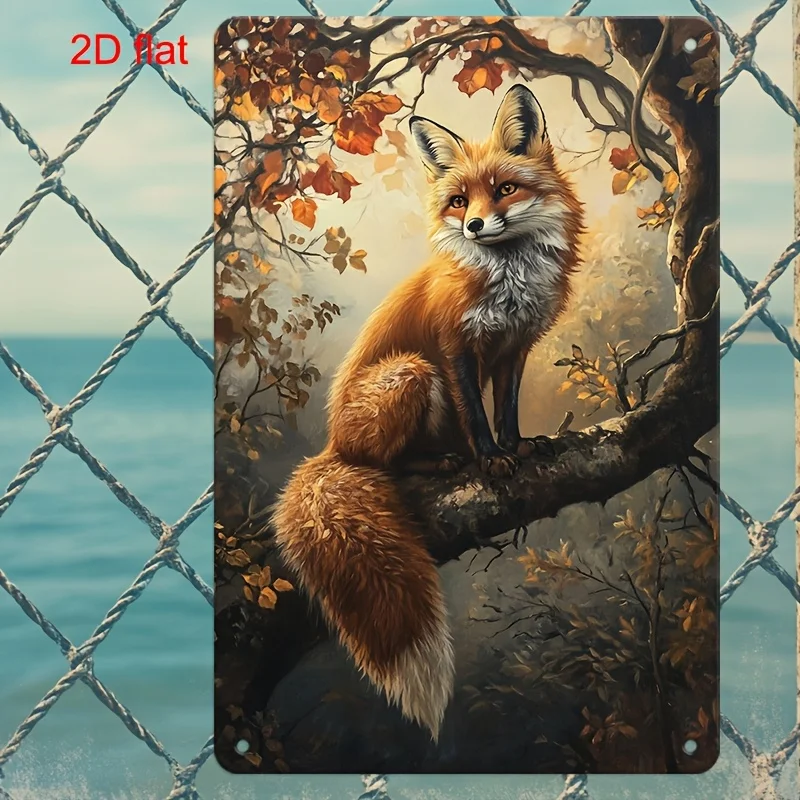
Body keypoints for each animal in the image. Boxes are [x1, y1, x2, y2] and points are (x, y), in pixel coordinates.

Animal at [272, 84, 584, 742]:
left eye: (505, 189)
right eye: (460, 200)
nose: (474, 224)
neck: (507, 280)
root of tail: (329, 447)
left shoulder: (513, 349)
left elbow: (506, 409)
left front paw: (518, 447)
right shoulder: (453, 347)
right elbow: (476, 416)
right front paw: (490, 460)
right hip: (412, 373)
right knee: (382, 464)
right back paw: (438, 464)